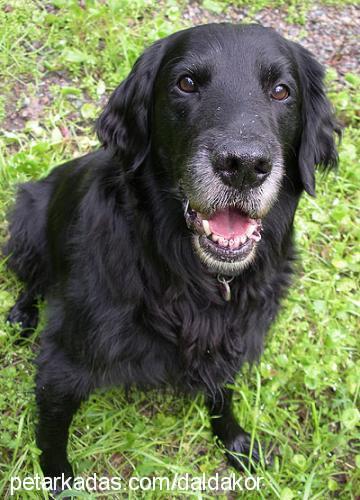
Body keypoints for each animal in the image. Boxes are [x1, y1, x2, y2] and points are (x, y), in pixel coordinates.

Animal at [4, 22, 338, 480]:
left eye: (281, 90)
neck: (195, 277)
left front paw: (233, 440)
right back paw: (21, 315)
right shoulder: (65, 359)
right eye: (186, 83)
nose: (244, 166)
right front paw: (59, 480)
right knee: (33, 280)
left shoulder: (233, 339)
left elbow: (223, 393)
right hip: (27, 220)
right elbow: (53, 429)